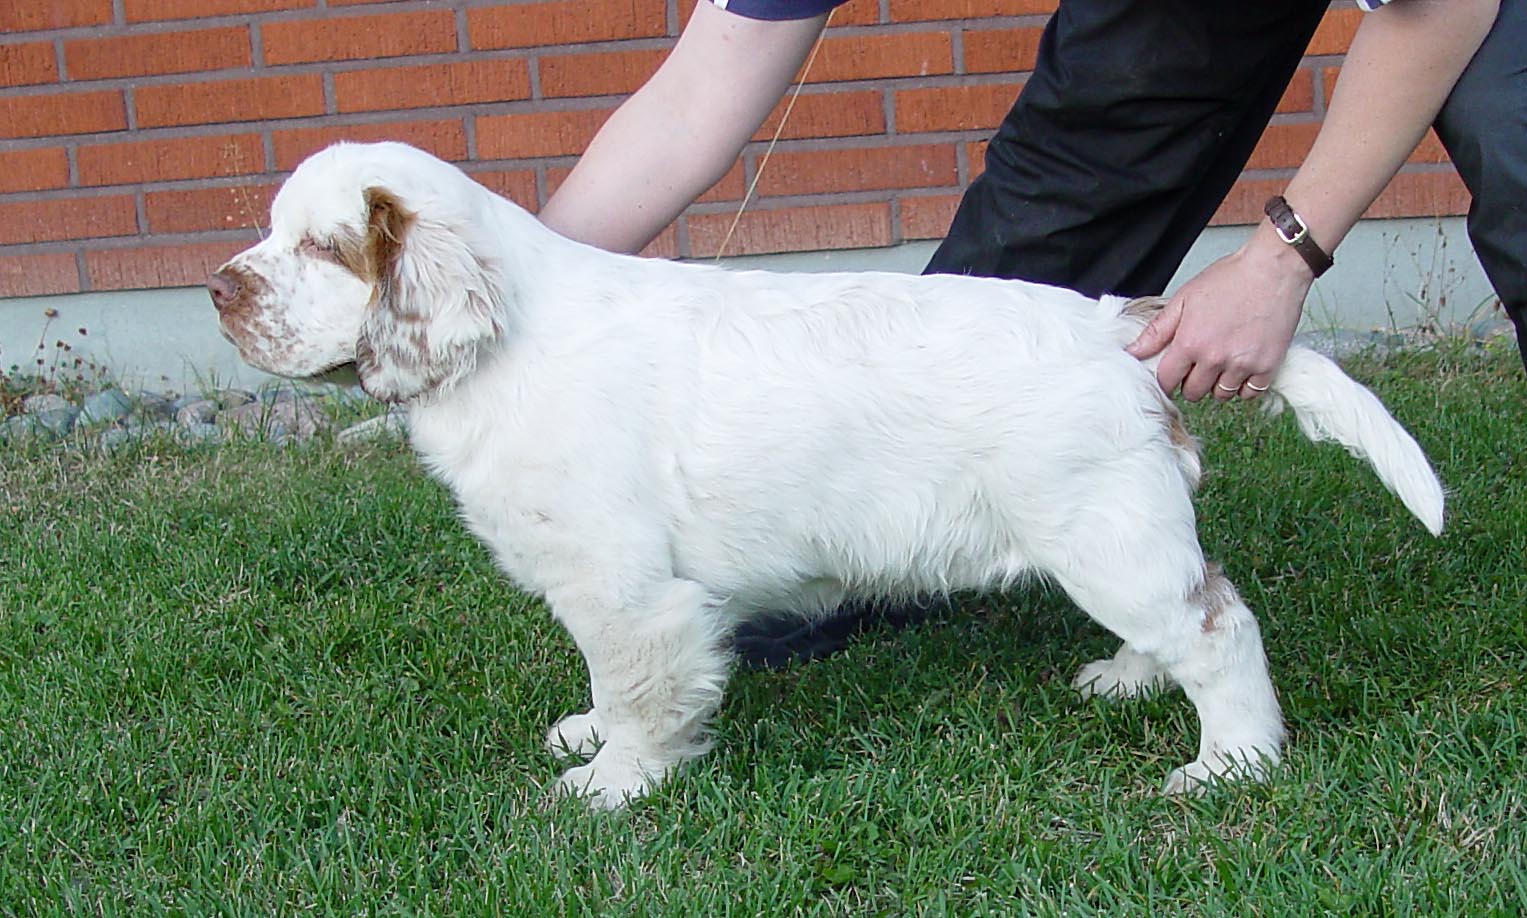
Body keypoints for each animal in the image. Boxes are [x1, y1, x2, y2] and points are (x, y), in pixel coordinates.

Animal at [210, 141, 1444, 808]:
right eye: (271, 233)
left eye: (322, 249)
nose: (219, 290)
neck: (503, 341)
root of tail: (1116, 324)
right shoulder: (605, 591)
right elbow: (608, 684)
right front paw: (589, 739)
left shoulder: (629, 590)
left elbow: (642, 691)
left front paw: (612, 787)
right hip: (1110, 534)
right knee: (1183, 614)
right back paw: (1128, 680)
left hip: (1103, 534)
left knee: (1218, 627)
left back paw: (1232, 762)